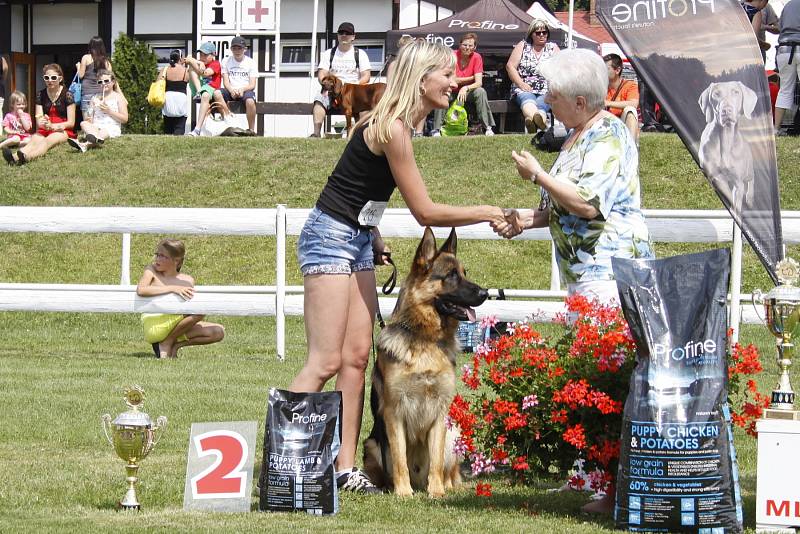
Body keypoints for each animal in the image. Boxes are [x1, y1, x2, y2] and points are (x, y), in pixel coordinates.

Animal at [362, 227, 488, 498]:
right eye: (451, 275)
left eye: (464, 273)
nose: (486, 293)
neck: (426, 339)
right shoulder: (394, 413)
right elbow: (399, 458)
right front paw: (403, 492)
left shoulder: (440, 413)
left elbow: (436, 459)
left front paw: (436, 492)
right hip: (372, 444)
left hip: (453, 434)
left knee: (449, 471)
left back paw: (446, 486)